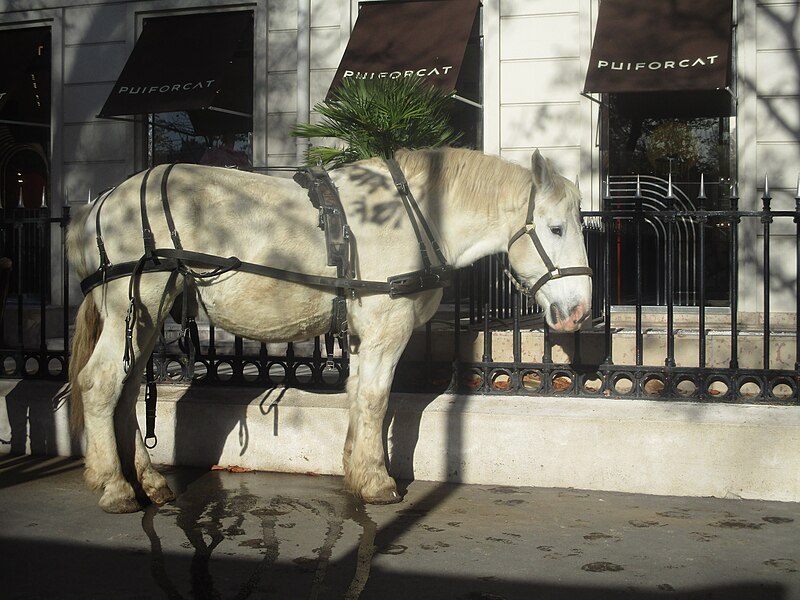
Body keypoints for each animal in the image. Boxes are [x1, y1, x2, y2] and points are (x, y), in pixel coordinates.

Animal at [69, 148, 592, 512]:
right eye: (556, 229)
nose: (580, 310)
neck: (419, 217)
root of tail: (98, 204)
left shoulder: (364, 336)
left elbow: (359, 396)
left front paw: (357, 472)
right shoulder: (387, 329)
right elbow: (377, 399)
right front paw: (379, 482)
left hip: (146, 319)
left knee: (127, 390)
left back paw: (148, 481)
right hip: (135, 307)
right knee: (99, 385)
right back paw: (116, 488)